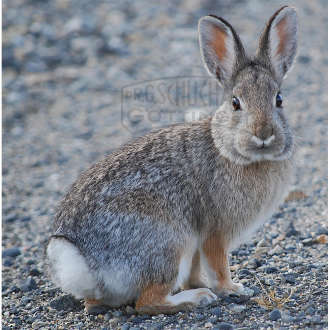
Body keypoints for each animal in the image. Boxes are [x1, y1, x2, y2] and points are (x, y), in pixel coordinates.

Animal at [45, 5, 300, 314]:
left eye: (279, 99)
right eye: (235, 103)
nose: (263, 134)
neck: (230, 149)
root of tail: (83, 262)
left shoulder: (199, 243)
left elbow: (195, 269)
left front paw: (200, 283)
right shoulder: (215, 231)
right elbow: (218, 264)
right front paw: (232, 288)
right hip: (169, 242)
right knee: (148, 301)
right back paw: (196, 298)